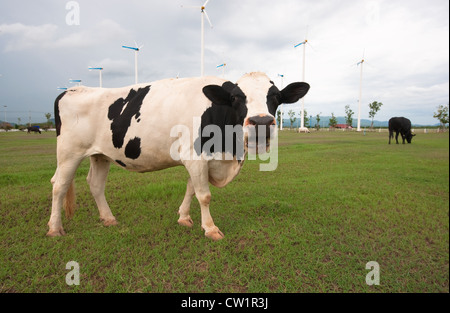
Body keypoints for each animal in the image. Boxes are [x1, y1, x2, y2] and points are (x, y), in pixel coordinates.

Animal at [48, 72, 310, 239]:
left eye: (276, 97)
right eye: (236, 97)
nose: (261, 122)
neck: (229, 150)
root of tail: (70, 90)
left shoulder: (201, 160)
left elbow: (191, 189)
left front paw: (184, 218)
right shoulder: (194, 155)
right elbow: (204, 195)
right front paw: (210, 229)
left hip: (101, 154)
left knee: (95, 184)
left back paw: (108, 218)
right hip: (69, 152)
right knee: (59, 185)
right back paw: (54, 228)